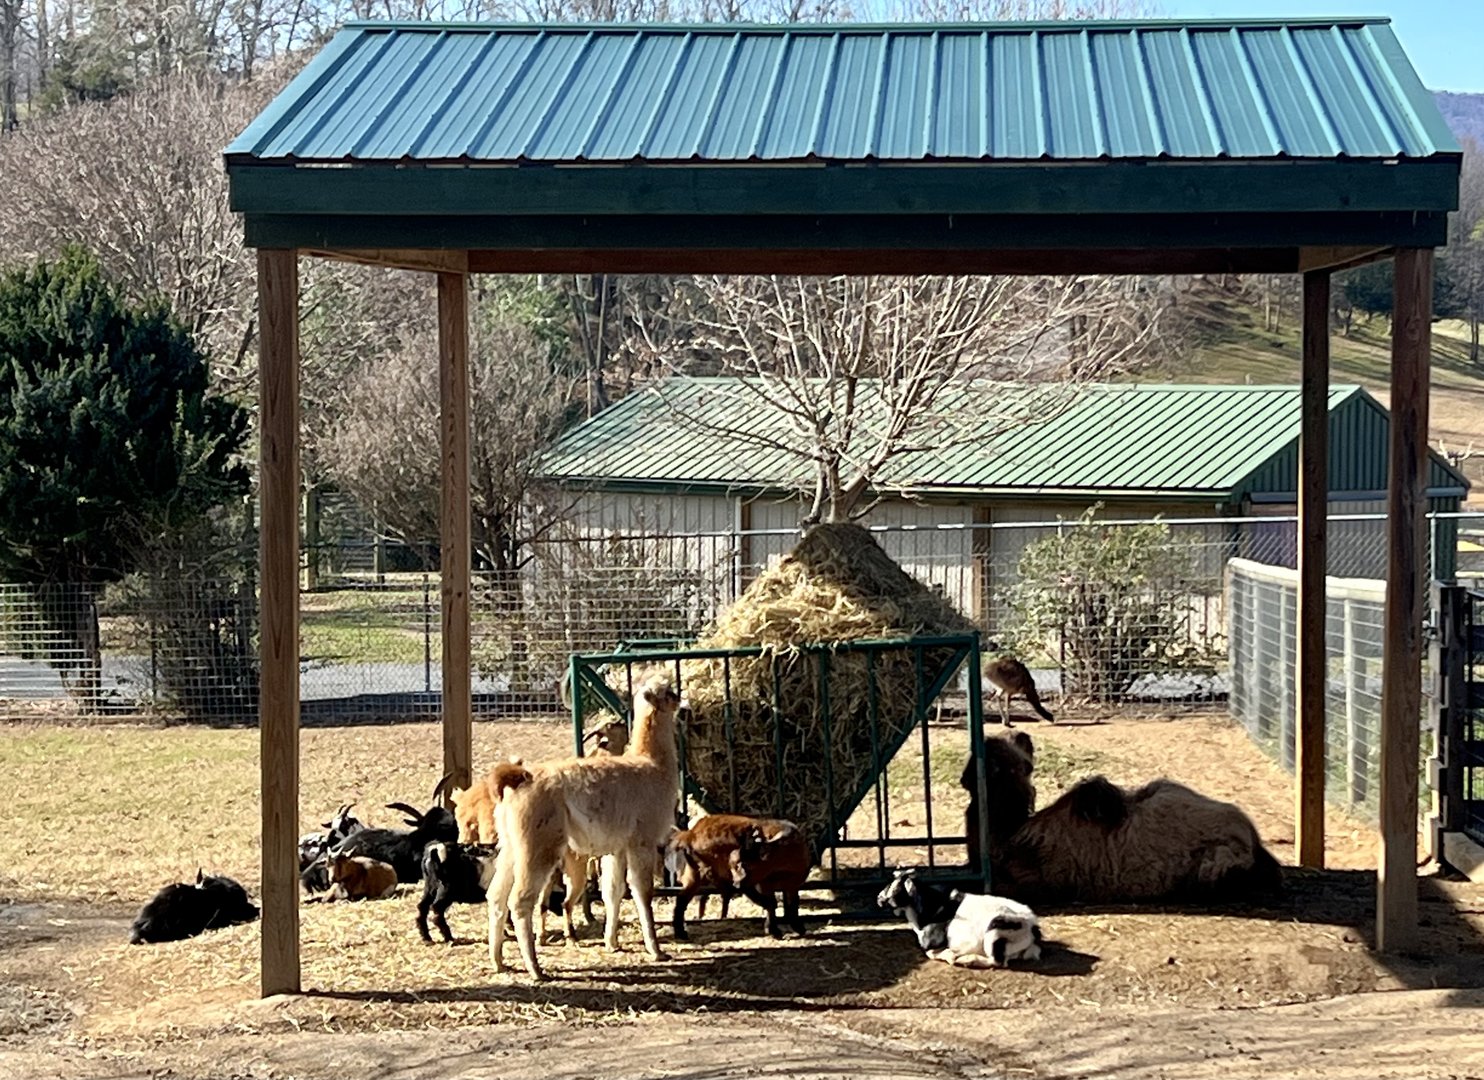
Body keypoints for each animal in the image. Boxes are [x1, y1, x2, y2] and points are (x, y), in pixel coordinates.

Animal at [488, 678, 682, 980]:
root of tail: (519, 779)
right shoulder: (642, 840)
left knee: (496, 896)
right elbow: (642, 891)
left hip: (511, 846)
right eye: (668, 692)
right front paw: (657, 950)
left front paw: (612, 942)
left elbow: (613, 891)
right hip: (539, 845)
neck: (652, 766)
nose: (680, 699)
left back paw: (498, 962)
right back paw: (536, 969)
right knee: (519, 901)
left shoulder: (617, 847)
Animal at [666, 814, 812, 940]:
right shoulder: (764, 883)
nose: (736, 882)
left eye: (739, 865)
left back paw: (680, 932)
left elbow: (792, 904)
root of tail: (691, 834)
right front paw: (773, 931)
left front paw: (797, 927)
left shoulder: (792, 884)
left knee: (682, 899)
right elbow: (772, 903)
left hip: (695, 873)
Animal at [877, 868, 1042, 968]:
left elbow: (930, 952)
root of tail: (1032, 928)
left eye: (891, 886)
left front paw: (951, 956)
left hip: (995, 931)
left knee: (998, 961)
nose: (879, 898)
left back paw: (967, 960)